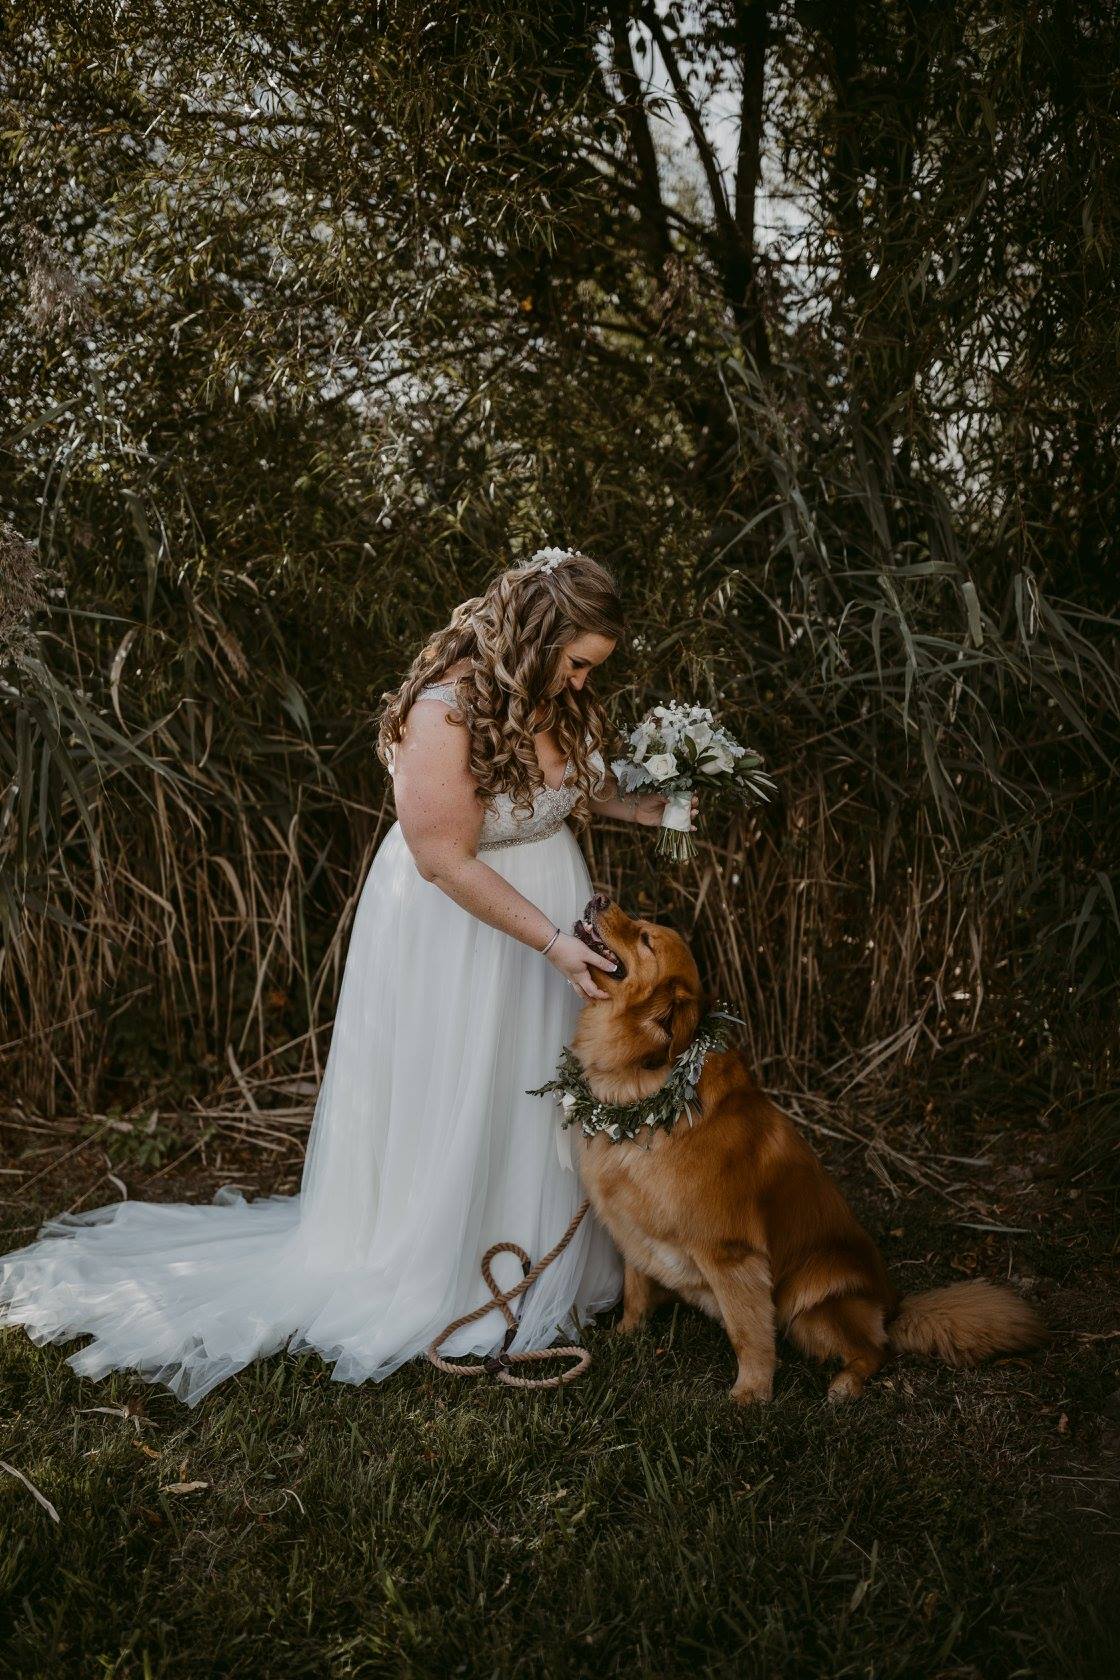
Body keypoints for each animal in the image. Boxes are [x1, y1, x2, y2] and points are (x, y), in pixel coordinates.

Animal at [570, 893, 1054, 1404]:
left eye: (645, 939)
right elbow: (636, 1289)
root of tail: (893, 1304)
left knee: (875, 1349)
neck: (648, 1094)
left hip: (814, 1302)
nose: (599, 898)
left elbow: (748, 1332)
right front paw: (626, 1336)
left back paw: (845, 1384)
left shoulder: (731, 1253)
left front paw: (751, 1393)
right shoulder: (630, 1228)